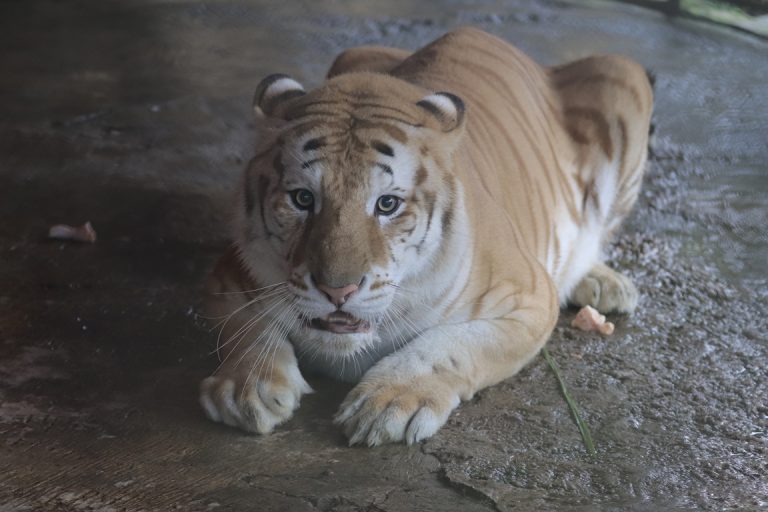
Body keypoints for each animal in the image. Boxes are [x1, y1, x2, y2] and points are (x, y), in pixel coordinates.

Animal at [200, 27, 656, 444]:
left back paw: (603, 283)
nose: (338, 291)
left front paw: (388, 402)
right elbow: (247, 329)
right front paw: (248, 389)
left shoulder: (530, 298)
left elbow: (450, 346)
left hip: (621, 73)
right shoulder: (228, 273)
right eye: (302, 198)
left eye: (387, 204)